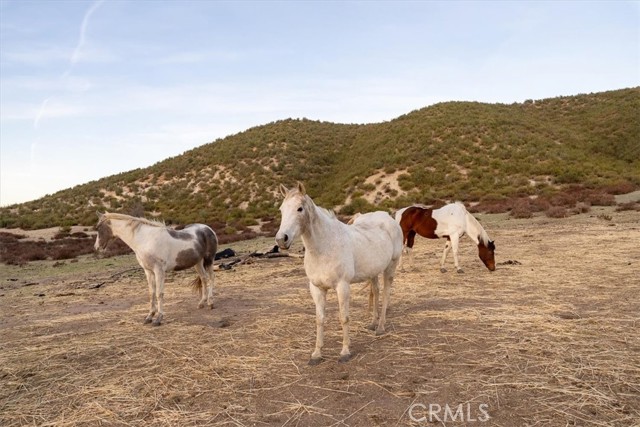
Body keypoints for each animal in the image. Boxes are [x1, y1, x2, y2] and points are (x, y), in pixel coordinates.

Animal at [274, 182, 402, 366]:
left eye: (300, 208)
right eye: (281, 209)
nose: (281, 239)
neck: (325, 246)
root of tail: (388, 217)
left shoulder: (342, 287)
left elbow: (344, 318)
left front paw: (345, 352)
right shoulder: (316, 289)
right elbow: (319, 319)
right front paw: (316, 354)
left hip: (390, 267)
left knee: (385, 294)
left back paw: (380, 327)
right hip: (373, 271)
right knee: (376, 292)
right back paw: (372, 323)